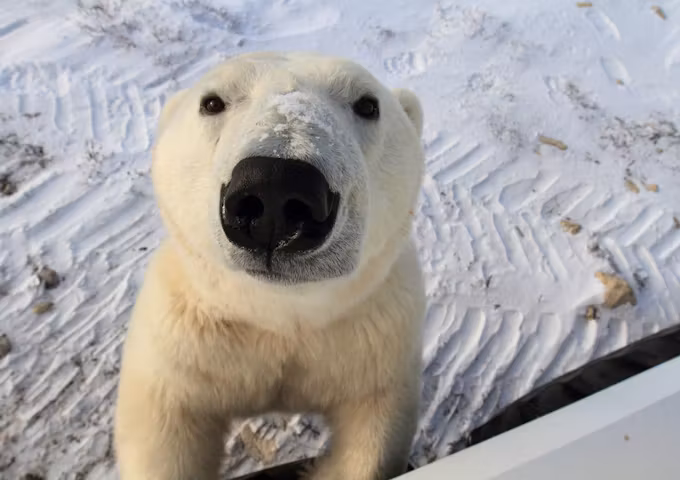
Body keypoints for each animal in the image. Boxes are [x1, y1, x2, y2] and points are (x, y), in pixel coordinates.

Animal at [114, 51, 426, 480]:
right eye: (212, 102)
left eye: (367, 105)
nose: (276, 189)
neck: (277, 311)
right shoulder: (189, 347)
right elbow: (163, 436)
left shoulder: (373, 338)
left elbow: (371, 436)